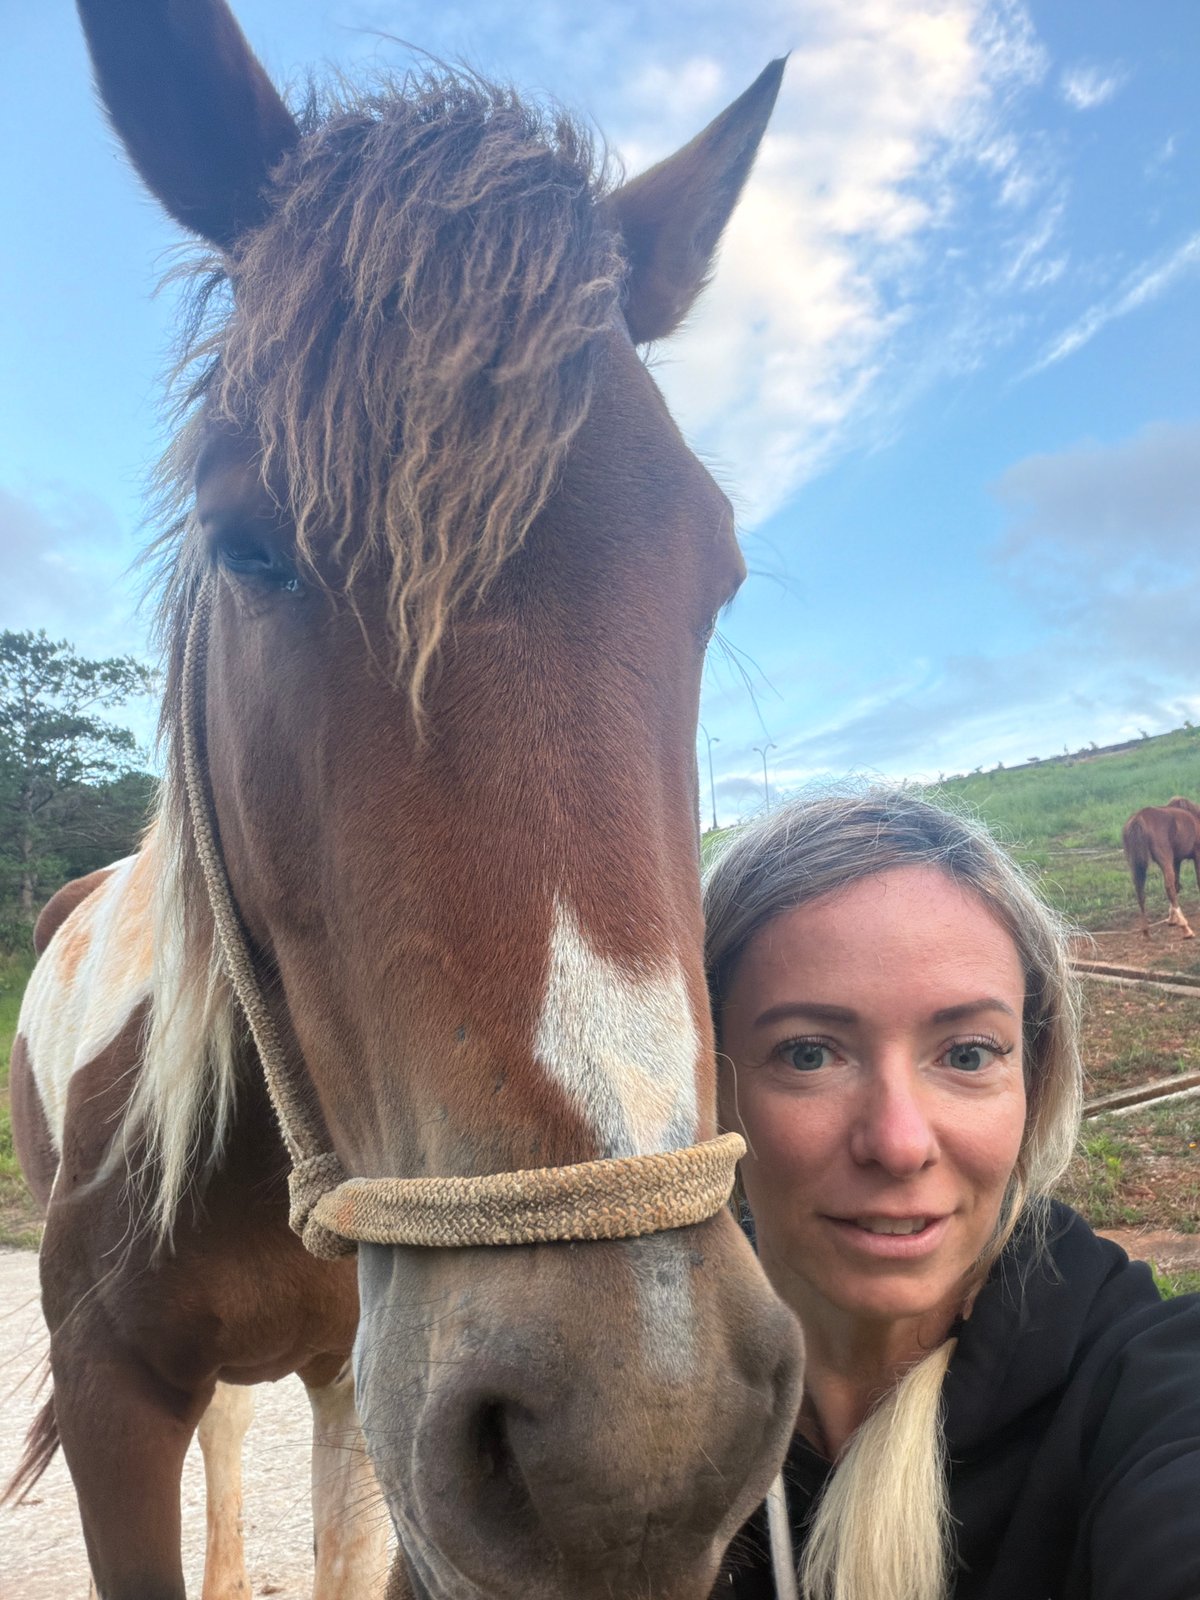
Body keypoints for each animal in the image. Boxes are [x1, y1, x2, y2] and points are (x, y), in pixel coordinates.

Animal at [1122, 799, 1200, 938]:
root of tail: (1139, 819)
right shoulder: (1197, 854)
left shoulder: (1176, 860)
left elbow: (1177, 885)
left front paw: (1172, 919)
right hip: (1164, 859)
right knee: (1168, 887)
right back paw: (1185, 928)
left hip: (1136, 864)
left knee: (1140, 891)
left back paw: (1146, 931)